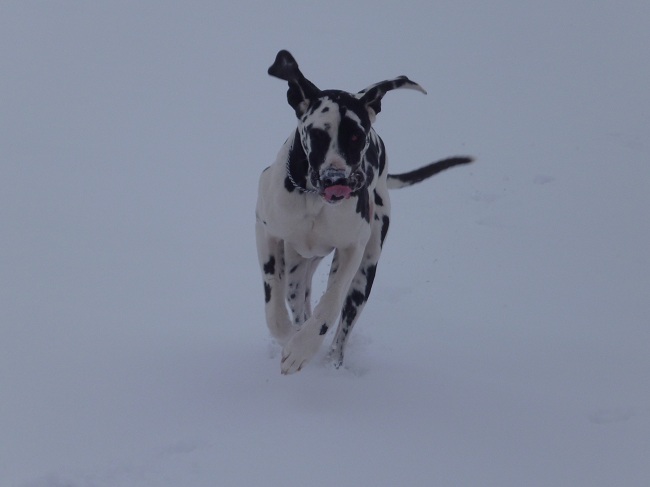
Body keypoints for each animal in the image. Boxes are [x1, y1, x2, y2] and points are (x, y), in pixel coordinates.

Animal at [256, 50, 473, 374]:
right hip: (298, 266)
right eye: (317, 135)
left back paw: (331, 361)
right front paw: (288, 336)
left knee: (342, 322)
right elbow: (273, 301)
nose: (336, 180)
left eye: (357, 136)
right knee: (297, 299)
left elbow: (330, 303)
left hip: (365, 269)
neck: (314, 202)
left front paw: (301, 349)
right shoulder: (267, 231)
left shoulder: (352, 248)